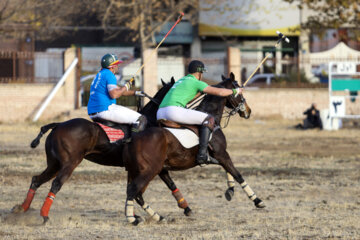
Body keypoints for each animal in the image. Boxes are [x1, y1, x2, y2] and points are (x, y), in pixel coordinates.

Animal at [13, 78, 177, 222]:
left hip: (54, 164)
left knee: (36, 180)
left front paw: (135, 216)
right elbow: (139, 190)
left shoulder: (134, 168)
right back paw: (44, 215)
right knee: (56, 184)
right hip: (70, 163)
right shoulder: (149, 166)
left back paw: (21, 208)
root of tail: (58, 125)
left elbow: (134, 190)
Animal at [121, 72, 264, 225]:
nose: (248, 111)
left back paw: (156, 216)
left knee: (137, 194)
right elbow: (237, 174)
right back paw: (133, 218)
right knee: (133, 190)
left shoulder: (218, 156)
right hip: (149, 170)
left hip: (143, 170)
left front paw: (230, 190)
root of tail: (132, 139)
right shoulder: (221, 153)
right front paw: (257, 200)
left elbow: (228, 170)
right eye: (239, 92)